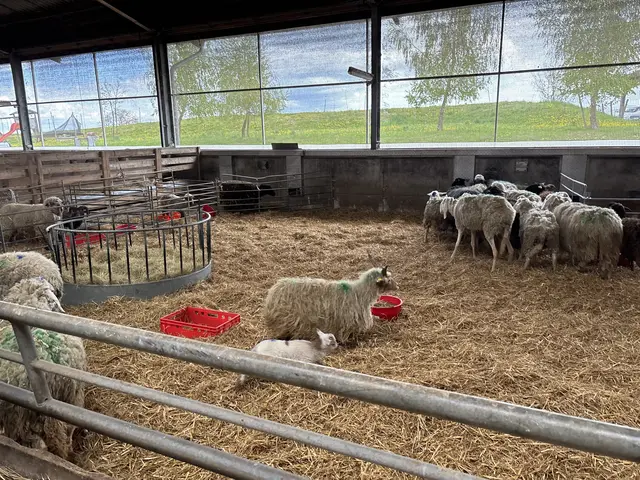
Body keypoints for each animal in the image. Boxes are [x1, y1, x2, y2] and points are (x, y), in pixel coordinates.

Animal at [263, 266, 398, 344]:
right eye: (388, 279)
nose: (397, 286)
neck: (359, 293)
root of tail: (272, 293)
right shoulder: (346, 323)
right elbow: (344, 335)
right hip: (286, 320)